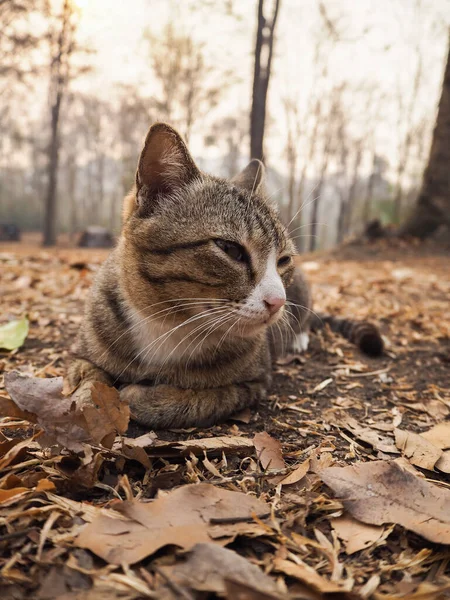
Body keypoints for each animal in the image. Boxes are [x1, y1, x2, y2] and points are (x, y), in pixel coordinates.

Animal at [67, 124, 384, 428]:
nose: (279, 302)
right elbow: (86, 381)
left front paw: (143, 397)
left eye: (283, 260)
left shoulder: (254, 382)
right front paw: (92, 403)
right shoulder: (84, 354)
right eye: (230, 249)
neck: (167, 323)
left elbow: (203, 398)